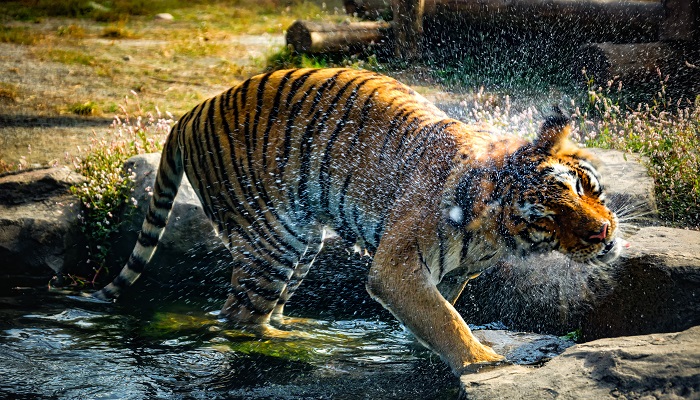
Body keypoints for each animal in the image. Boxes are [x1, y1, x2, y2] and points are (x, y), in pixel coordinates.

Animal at [94, 68, 624, 376]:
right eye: (547, 218)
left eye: (581, 188)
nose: (602, 232)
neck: (496, 237)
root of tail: (191, 111)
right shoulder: (397, 266)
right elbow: (444, 319)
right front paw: (485, 363)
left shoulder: (450, 273)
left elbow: (437, 314)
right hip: (272, 240)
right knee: (238, 319)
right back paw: (293, 346)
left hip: (301, 240)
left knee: (262, 308)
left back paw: (299, 328)